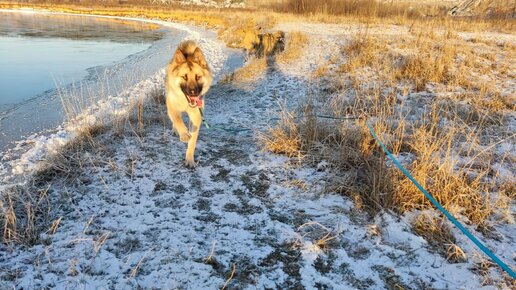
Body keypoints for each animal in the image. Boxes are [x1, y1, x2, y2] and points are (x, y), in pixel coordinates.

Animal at [166, 40, 213, 168]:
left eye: (198, 77)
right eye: (184, 77)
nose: (193, 92)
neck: (185, 102)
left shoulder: (196, 116)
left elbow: (193, 141)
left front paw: (190, 159)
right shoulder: (172, 107)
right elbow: (177, 120)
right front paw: (184, 134)